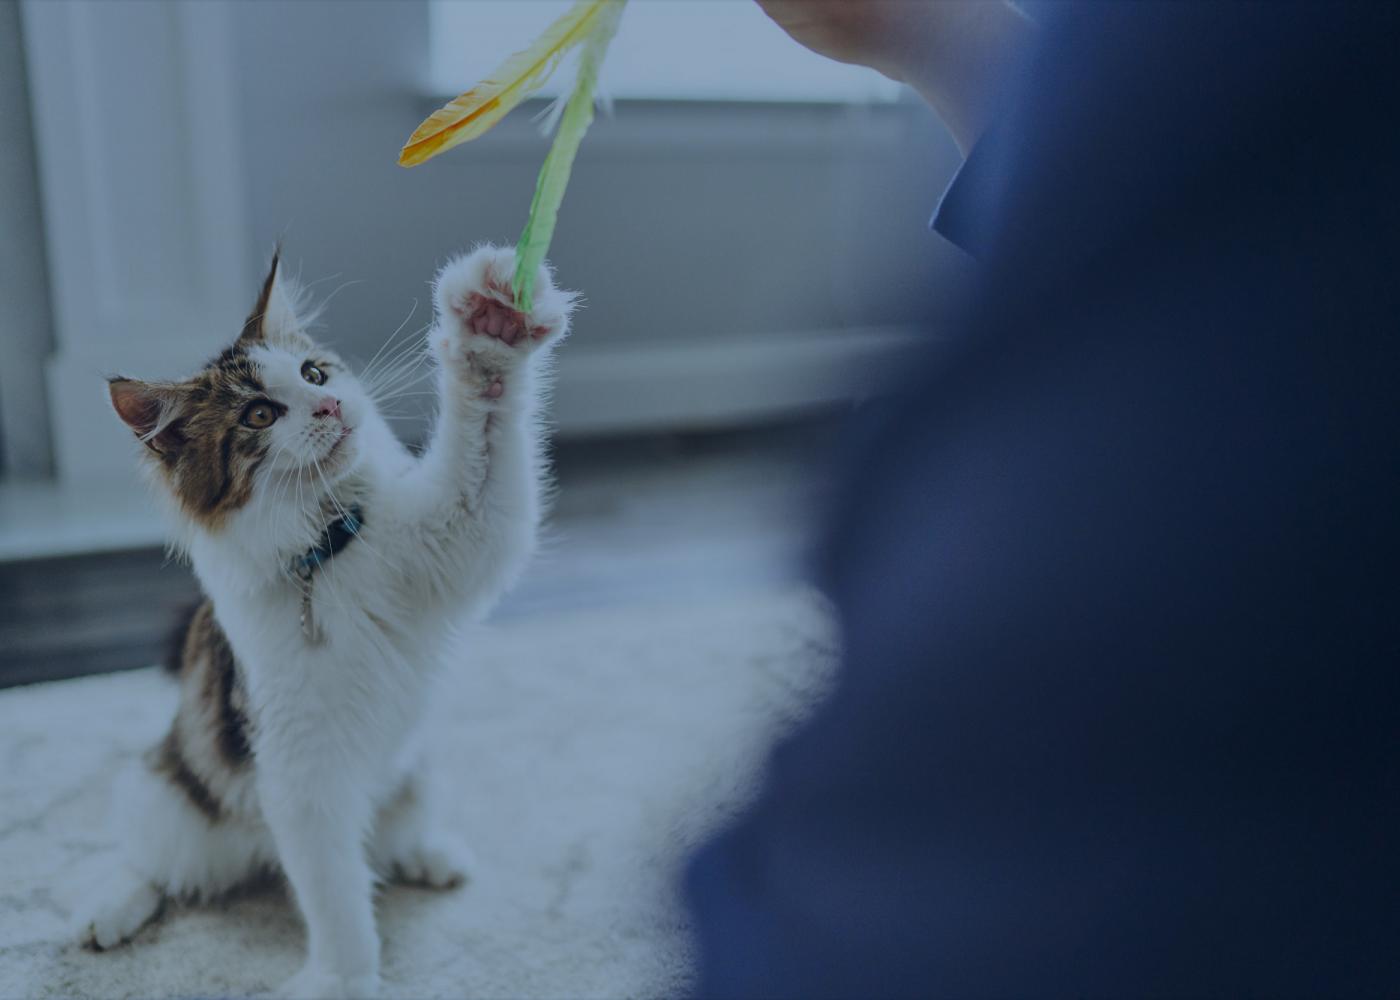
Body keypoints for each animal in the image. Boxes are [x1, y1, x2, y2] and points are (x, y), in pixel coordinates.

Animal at [79, 243, 574, 997]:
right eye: (259, 415)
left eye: (314, 373)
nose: (333, 404)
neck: (327, 554)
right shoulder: (304, 775)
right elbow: (335, 894)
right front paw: (345, 978)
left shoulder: (461, 533)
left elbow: (486, 422)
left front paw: (489, 321)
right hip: (167, 805)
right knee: (152, 869)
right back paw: (105, 916)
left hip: (413, 772)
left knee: (392, 839)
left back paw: (434, 857)